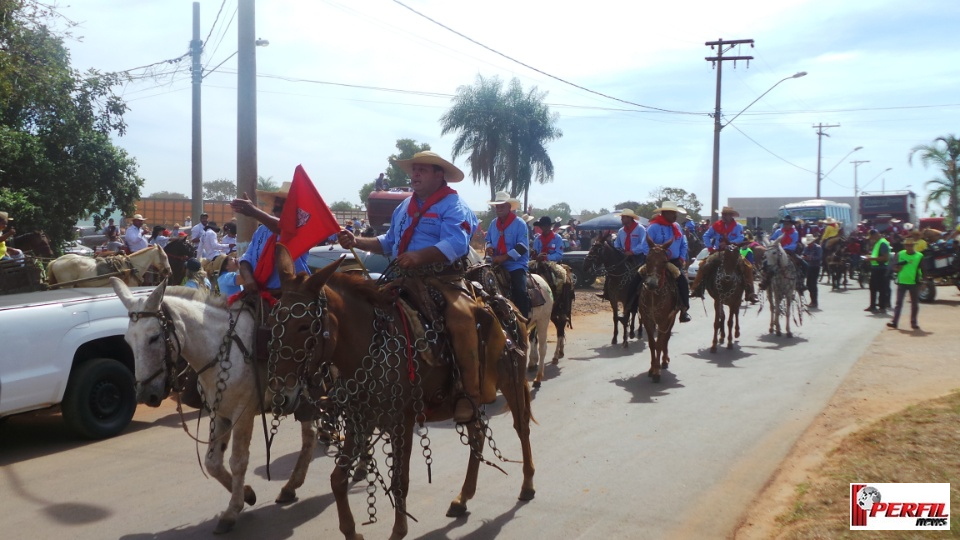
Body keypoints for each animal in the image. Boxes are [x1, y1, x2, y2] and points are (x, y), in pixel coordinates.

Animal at [109, 280, 318, 532]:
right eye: (127, 341)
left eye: (154, 337)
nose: (144, 394)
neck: (222, 349)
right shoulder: (220, 414)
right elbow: (213, 463)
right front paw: (247, 494)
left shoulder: (243, 414)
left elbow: (238, 461)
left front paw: (232, 511)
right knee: (311, 435)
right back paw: (291, 486)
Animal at [266, 248, 536, 540]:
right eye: (272, 322)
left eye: (305, 326)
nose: (280, 397)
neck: (369, 347)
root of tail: (507, 307)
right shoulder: (360, 419)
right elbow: (337, 479)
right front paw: (351, 532)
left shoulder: (401, 423)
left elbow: (399, 481)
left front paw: (398, 531)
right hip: (470, 401)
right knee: (477, 434)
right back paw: (462, 498)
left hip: (511, 382)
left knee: (521, 427)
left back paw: (527, 484)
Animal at [636, 238, 684, 382]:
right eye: (647, 259)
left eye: (664, 261)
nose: (651, 283)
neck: (654, 295)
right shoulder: (647, 320)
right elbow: (652, 344)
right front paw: (652, 368)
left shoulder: (664, 320)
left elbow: (659, 343)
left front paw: (657, 371)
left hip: (672, 317)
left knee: (666, 338)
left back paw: (664, 360)